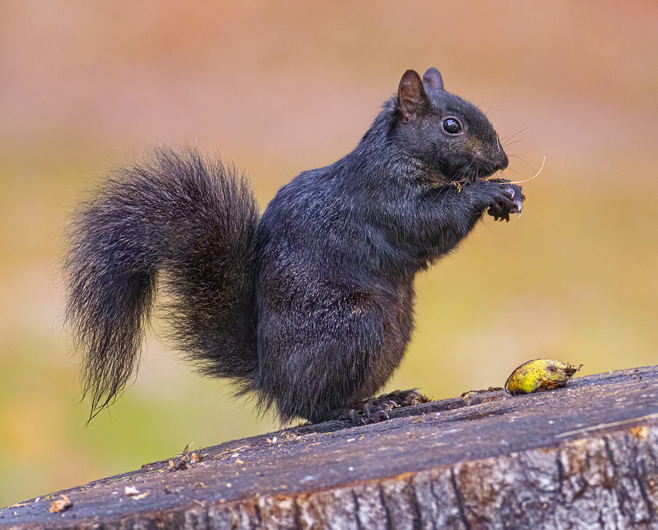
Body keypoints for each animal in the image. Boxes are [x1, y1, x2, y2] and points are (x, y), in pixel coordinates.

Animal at [64, 67, 524, 425]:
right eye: (451, 126)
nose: (501, 161)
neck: (399, 155)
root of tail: (270, 379)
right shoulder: (383, 199)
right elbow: (427, 223)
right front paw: (487, 192)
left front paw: (508, 192)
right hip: (354, 327)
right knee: (312, 407)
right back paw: (357, 410)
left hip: (391, 335)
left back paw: (390, 397)